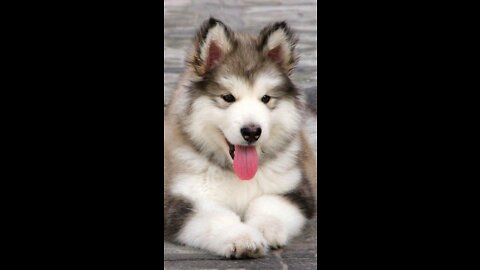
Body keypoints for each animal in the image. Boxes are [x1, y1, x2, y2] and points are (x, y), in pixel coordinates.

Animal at [163, 17, 316, 258]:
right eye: (228, 97)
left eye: (266, 98)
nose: (252, 131)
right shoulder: (181, 199)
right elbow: (215, 217)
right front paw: (243, 237)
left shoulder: (295, 190)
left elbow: (269, 204)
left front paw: (264, 229)